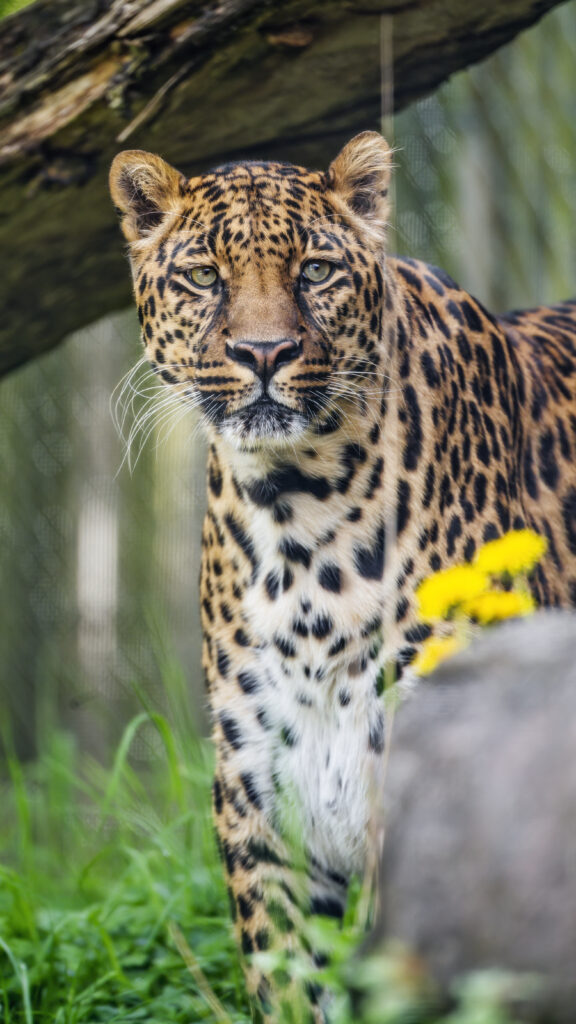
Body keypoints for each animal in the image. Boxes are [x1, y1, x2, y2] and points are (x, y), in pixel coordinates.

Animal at [110, 131, 576, 1022]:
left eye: (316, 270)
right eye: (204, 276)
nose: (263, 353)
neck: (297, 518)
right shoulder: (264, 806)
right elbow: (291, 986)